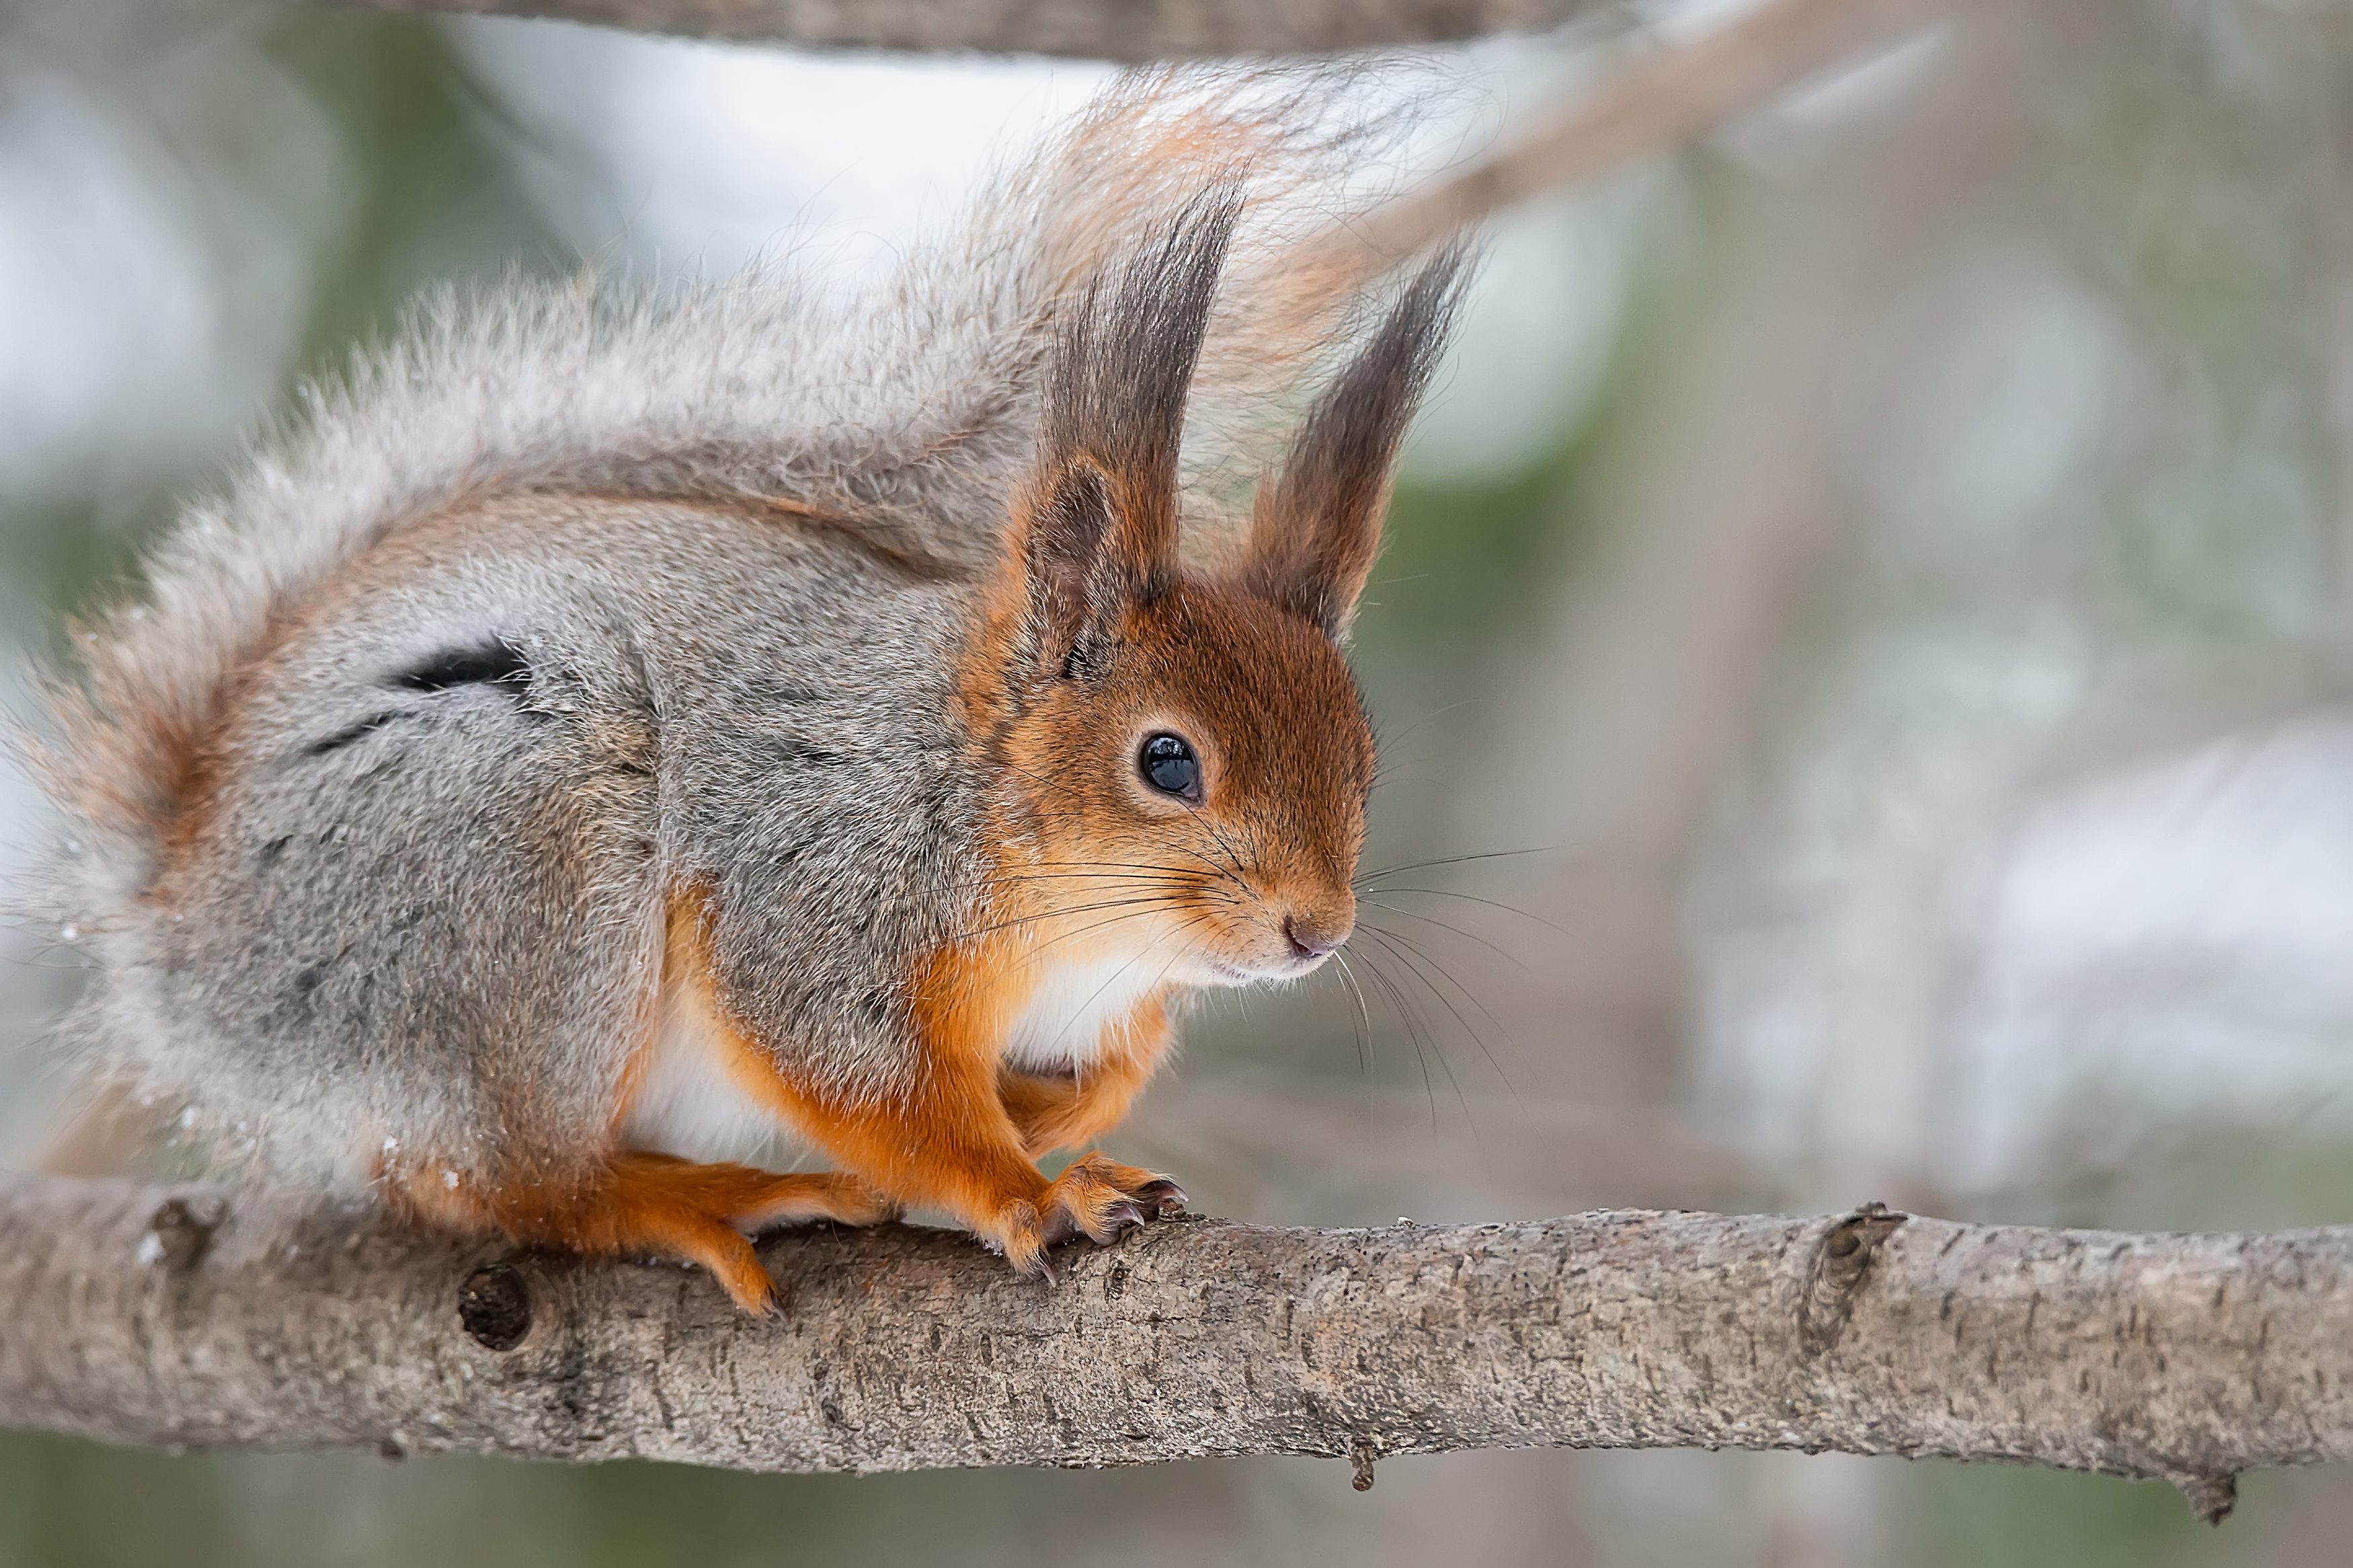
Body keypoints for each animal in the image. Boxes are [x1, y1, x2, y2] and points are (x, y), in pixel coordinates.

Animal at [28, 67, 1468, 1316]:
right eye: (1168, 760)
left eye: (1365, 763)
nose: (1315, 930)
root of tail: (187, 935)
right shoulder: (814, 894)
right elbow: (862, 1076)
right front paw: (1023, 1187)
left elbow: (1101, 1073)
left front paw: (1057, 1122)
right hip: (521, 867)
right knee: (507, 1181)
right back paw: (693, 1195)